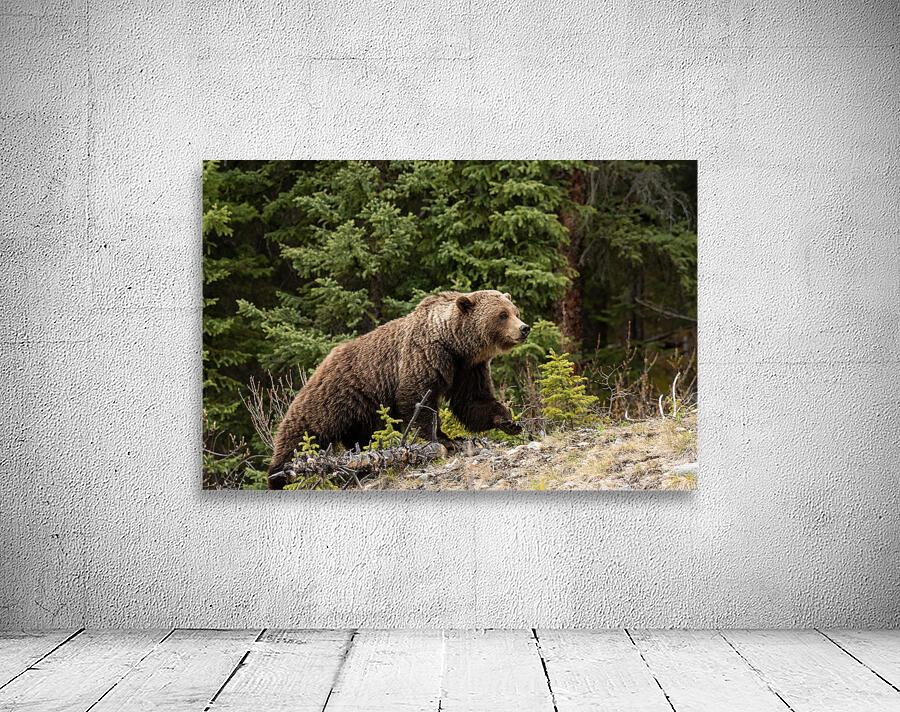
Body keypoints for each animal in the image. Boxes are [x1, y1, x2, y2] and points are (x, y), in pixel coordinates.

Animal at [266, 290, 530, 489]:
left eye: (515, 311)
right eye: (502, 314)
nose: (524, 328)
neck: (454, 344)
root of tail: (322, 362)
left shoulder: (468, 368)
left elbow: (472, 401)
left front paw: (509, 421)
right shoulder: (425, 356)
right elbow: (417, 399)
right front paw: (443, 439)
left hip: (363, 411)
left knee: (361, 437)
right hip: (334, 395)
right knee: (303, 430)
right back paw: (279, 476)